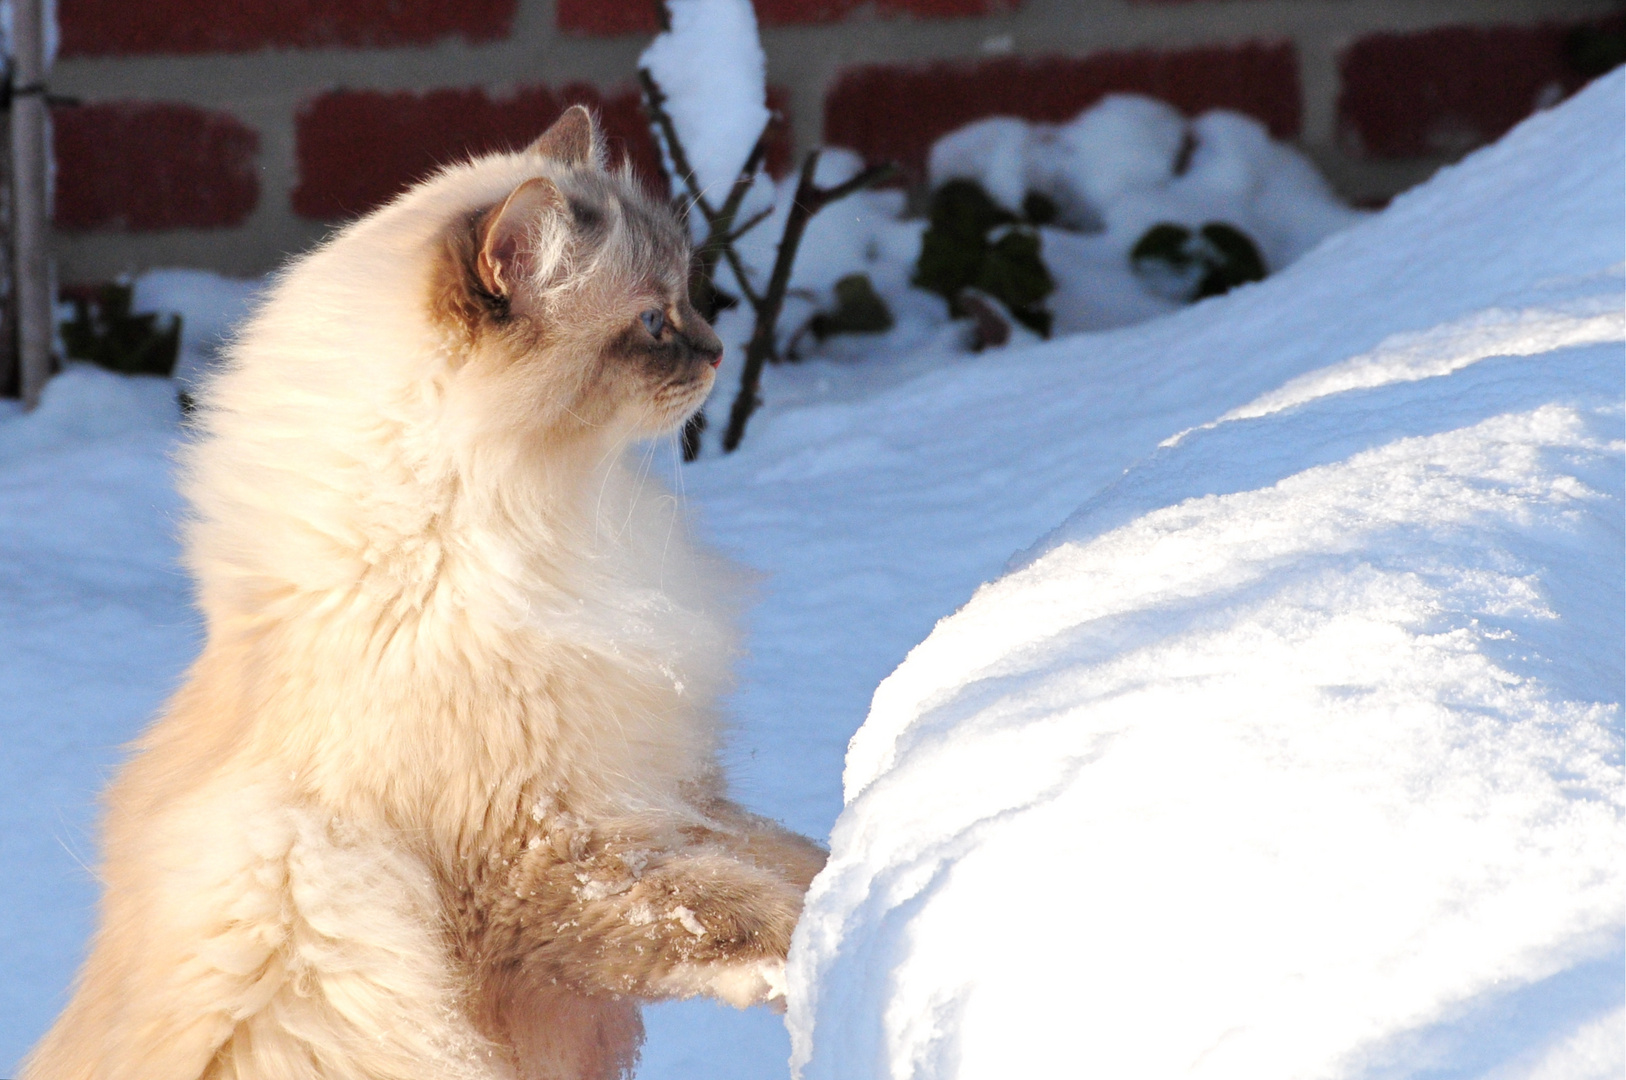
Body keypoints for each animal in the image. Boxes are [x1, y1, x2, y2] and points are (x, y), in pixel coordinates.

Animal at [28, 103, 826, 1080]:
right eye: (653, 320)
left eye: (690, 300)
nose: (717, 352)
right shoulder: (548, 848)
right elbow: (713, 911)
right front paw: (804, 948)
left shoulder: (662, 794)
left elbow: (793, 851)